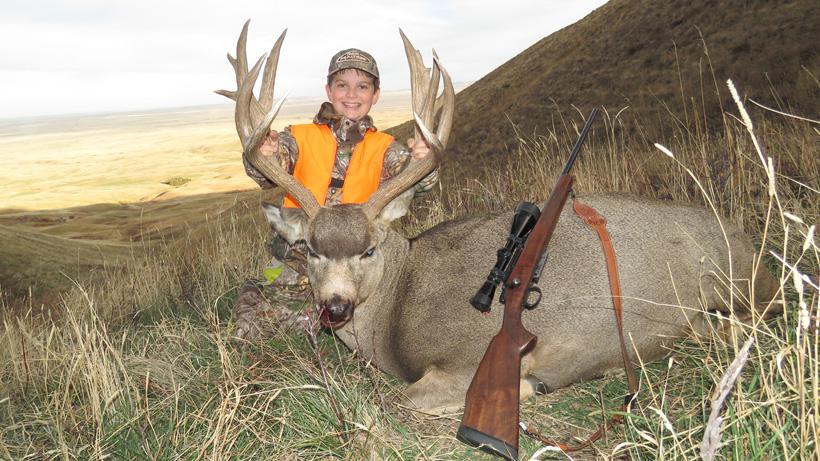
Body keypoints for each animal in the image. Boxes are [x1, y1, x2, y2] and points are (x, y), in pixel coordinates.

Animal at [217, 21, 779, 413]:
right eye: (311, 249)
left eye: (369, 248)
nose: (335, 306)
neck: (399, 306)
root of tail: (751, 245)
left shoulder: (464, 357)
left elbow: (401, 400)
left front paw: (527, 384)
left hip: (737, 292)